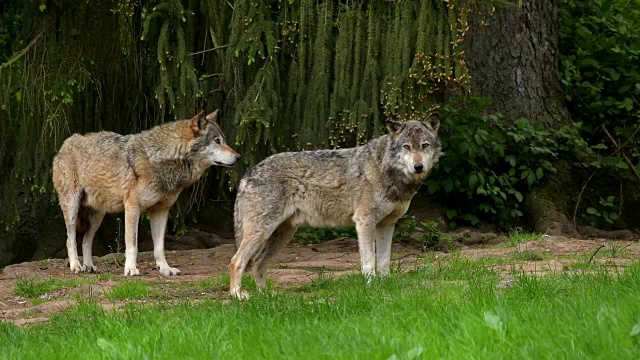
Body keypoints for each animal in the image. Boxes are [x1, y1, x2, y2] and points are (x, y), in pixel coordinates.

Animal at [53, 111, 240, 278]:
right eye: (217, 141)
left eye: (224, 140)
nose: (238, 157)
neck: (159, 159)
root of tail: (65, 144)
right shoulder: (132, 208)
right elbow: (132, 244)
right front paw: (130, 269)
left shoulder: (161, 211)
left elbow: (159, 247)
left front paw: (165, 269)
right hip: (72, 208)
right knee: (70, 239)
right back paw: (76, 266)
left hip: (97, 217)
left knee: (86, 239)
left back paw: (89, 266)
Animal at [228, 112, 442, 298]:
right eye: (406, 147)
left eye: (424, 145)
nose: (418, 167)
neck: (385, 168)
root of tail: (247, 174)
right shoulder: (364, 222)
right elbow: (368, 261)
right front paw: (371, 286)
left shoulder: (386, 225)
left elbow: (383, 261)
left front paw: (386, 283)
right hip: (262, 232)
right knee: (236, 261)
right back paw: (238, 295)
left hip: (282, 234)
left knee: (258, 263)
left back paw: (265, 296)